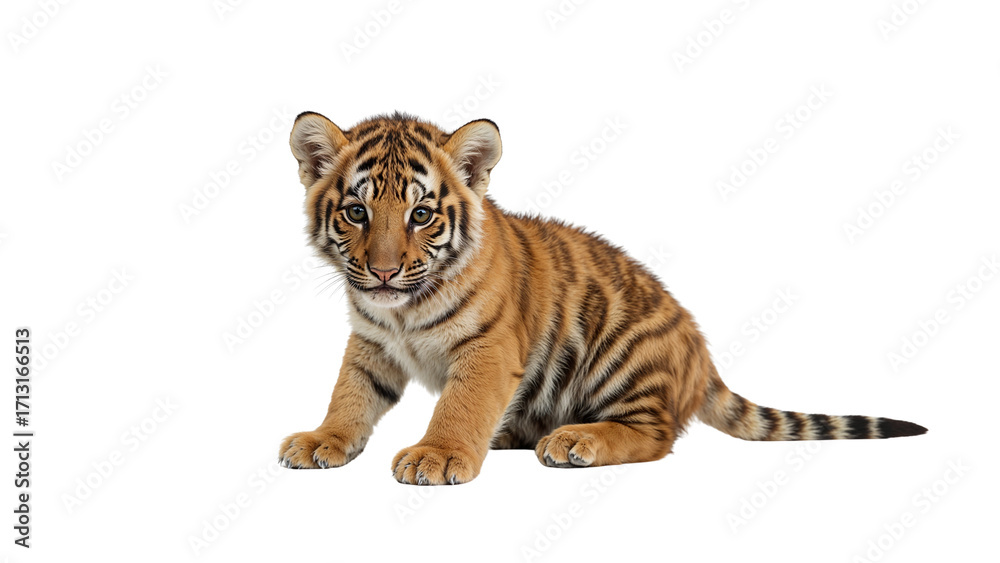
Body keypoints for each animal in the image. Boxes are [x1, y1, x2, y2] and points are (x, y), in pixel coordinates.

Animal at [277, 111, 926, 485]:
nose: (384, 272)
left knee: (656, 435)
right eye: (357, 212)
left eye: (421, 215)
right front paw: (321, 440)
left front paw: (436, 454)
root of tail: (702, 355)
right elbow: (350, 395)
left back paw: (574, 441)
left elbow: (460, 405)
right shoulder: (370, 343)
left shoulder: (487, 349)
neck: (403, 311)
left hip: (620, 351)